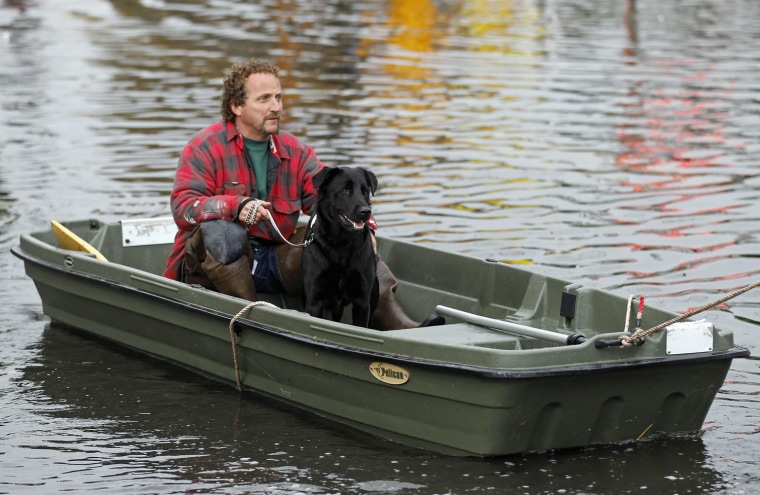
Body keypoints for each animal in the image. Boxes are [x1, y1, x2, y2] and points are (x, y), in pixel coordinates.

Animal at [302, 167, 380, 330]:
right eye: (344, 190)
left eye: (365, 191)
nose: (366, 211)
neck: (341, 244)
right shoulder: (314, 301)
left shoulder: (362, 302)